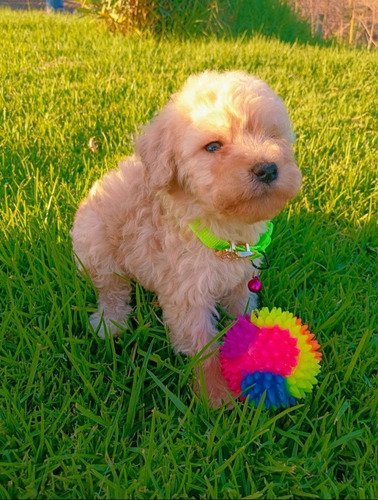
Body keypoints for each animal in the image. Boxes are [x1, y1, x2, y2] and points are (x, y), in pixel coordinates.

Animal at [70, 70, 302, 406]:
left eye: (273, 136)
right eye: (213, 146)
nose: (268, 169)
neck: (226, 237)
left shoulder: (241, 282)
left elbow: (243, 313)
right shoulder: (188, 294)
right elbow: (203, 347)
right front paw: (216, 395)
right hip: (94, 246)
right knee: (111, 289)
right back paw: (110, 324)